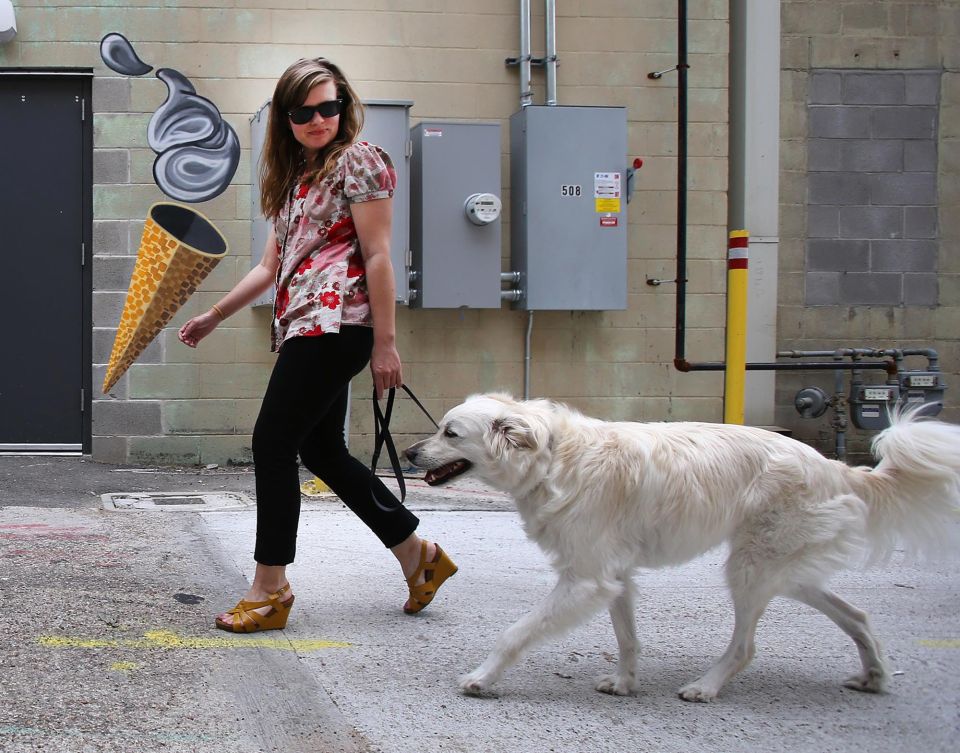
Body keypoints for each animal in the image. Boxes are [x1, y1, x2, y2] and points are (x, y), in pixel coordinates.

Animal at [404, 394, 960, 700]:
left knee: (745, 645)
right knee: (858, 615)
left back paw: (706, 688)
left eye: (450, 432)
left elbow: (514, 634)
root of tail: (837, 467)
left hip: (750, 570)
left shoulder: (585, 580)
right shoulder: (614, 578)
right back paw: (874, 675)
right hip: (785, 573)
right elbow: (627, 638)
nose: (407, 453)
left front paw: (481, 679)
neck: (554, 458)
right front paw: (626, 684)